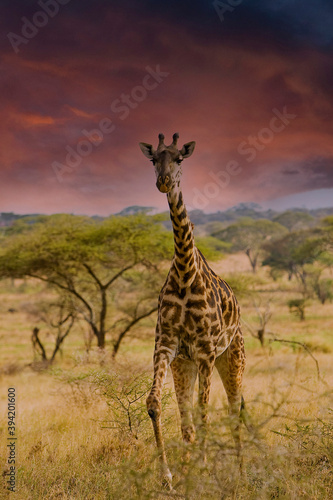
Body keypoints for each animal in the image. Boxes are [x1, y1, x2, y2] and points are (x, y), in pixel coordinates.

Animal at [139, 133, 245, 488]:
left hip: (232, 356)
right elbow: (155, 404)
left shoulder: (206, 351)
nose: (163, 181)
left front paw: (203, 470)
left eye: (179, 159)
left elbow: (204, 414)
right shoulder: (167, 346)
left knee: (234, 410)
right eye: (153, 159)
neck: (185, 272)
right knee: (188, 423)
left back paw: (242, 473)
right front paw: (170, 476)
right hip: (183, 365)